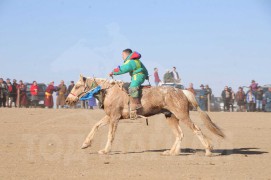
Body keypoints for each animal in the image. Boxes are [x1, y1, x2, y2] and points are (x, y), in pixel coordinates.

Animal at [66, 75, 225, 156]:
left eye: (77, 86)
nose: (68, 100)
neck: (109, 91)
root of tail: (182, 91)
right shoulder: (110, 116)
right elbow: (96, 125)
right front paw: (85, 144)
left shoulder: (115, 118)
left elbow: (110, 135)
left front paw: (105, 151)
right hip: (171, 117)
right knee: (179, 134)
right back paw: (171, 152)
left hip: (182, 116)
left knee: (196, 129)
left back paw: (208, 150)